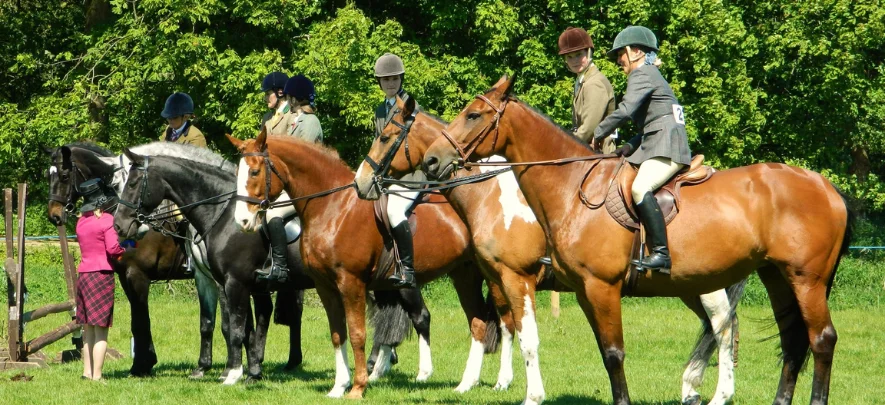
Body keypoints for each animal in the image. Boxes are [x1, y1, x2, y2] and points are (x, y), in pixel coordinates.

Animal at [228, 131, 504, 396]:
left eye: (254, 171)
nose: (242, 221)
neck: (334, 207)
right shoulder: (325, 287)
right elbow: (338, 334)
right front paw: (339, 387)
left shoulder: (351, 284)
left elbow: (358, 334)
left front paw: (358, 387)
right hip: (464, 275)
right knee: (478, 323)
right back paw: (467, 384)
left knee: (504, 321)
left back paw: (501, 382)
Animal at [352, 95, 744, 404]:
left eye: (385, 136)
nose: (361, 182)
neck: (490, 195)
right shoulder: (498, 278)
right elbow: (505, 326)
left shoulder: (515, 277)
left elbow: (519, 332)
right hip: (687, 285)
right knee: (716, 327)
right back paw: (692, 388)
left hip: (704, 285)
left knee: (723, 326)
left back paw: (718, 393)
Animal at [424, 74, 852, 402]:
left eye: (473, 114)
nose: (431, 160)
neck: (570, 186)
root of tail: (825, 187)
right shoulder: (581, 291)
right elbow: (597, 351)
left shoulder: (590, 286)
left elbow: (611, 353)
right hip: (775, 277)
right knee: (790, 342)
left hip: (805, 281)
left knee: (818, 339)